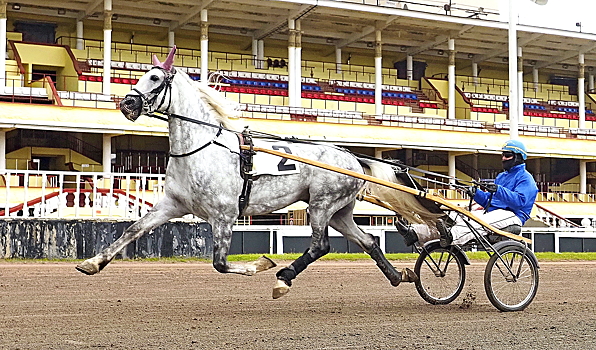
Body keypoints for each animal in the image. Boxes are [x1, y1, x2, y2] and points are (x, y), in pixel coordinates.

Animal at [75, 46, 438, 298]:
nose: (127, 104)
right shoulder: (172, 205)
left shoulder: (224, 215)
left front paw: (262, 264)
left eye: (155, 78)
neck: (202, 148)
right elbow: (132, 230)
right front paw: (92, 263)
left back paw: (284, 279)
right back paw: (398, 275)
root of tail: (351, 157)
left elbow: (220, 263)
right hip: (339, 211)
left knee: (320, 246)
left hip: (321, 205)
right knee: (368, 241)